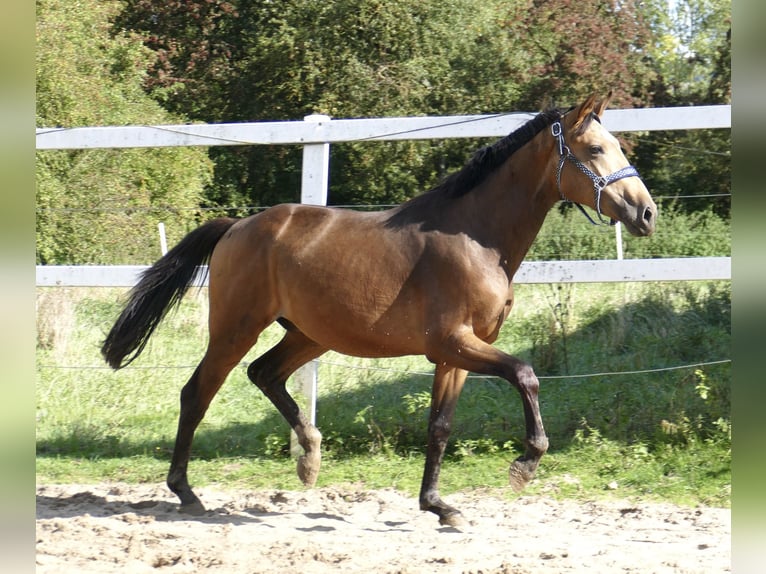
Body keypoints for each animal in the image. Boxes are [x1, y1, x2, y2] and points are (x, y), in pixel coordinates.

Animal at [100, 93, 656, 528]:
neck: (477, 239)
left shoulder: (456, 354)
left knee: (265, 374)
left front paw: (439, 506)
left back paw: (309, 457)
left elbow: (439, 427)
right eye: (595, 149)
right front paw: (526, 464)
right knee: (198, 392)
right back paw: (186, 491)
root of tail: (236, 226)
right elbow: (526, 374)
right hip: (236, 328)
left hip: (309, 334)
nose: (646, 213)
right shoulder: (455, 342)